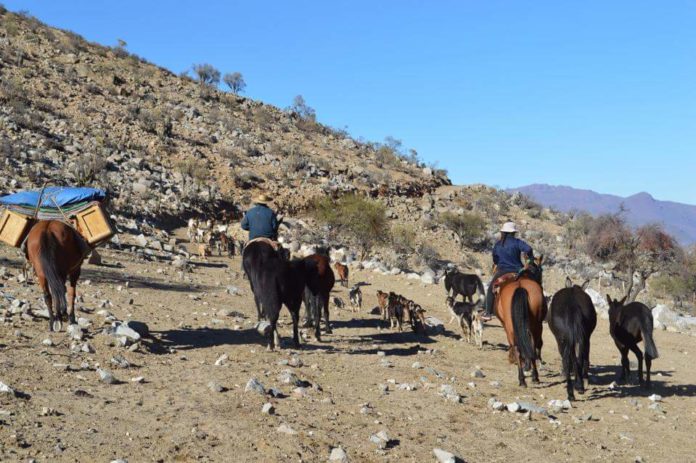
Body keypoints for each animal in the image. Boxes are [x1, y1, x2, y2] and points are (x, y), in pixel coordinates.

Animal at [492, 258, 548, 388]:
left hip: (511, 326)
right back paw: (534, 376)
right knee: (532, 344)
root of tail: (520, 286)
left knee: (518, 346)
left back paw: (522, 379)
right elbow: (537, 344)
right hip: (535, 325)